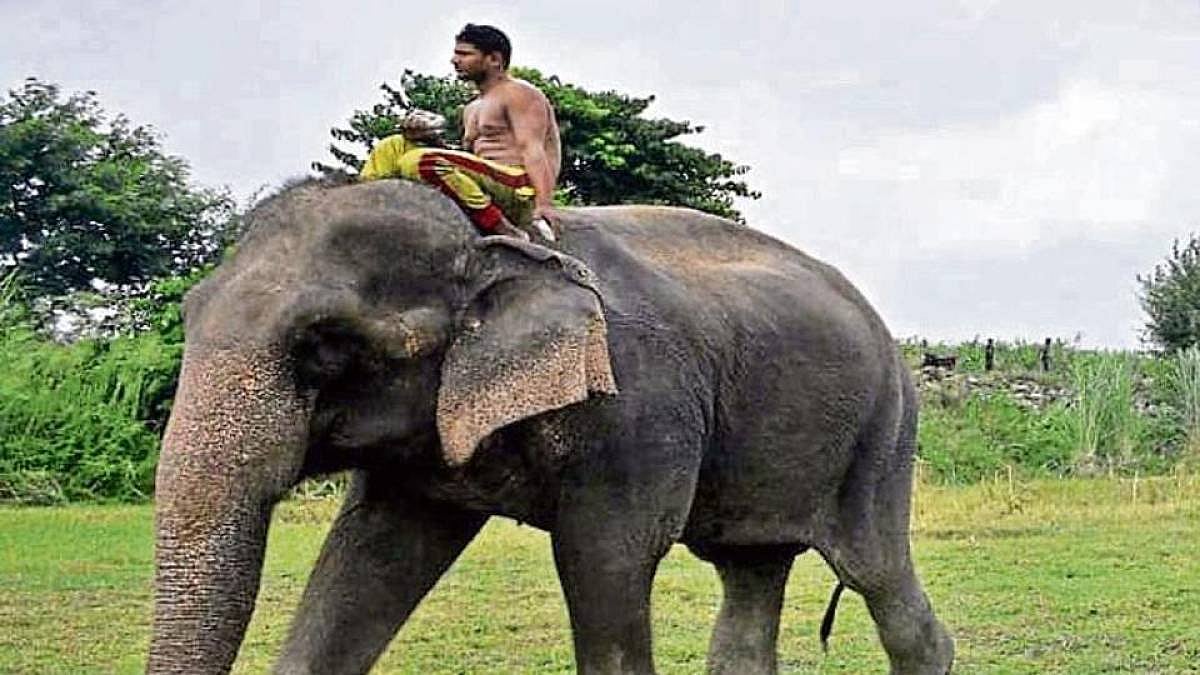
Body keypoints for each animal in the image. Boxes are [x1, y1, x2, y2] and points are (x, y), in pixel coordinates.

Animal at [146, 176, 953, 675]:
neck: (489, 238)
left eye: (326, 345)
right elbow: (370, 557)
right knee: (749, 576)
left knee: (877, 573)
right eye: (189, 312)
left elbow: (608, 560)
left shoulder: (637, 408)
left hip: (882, 435)